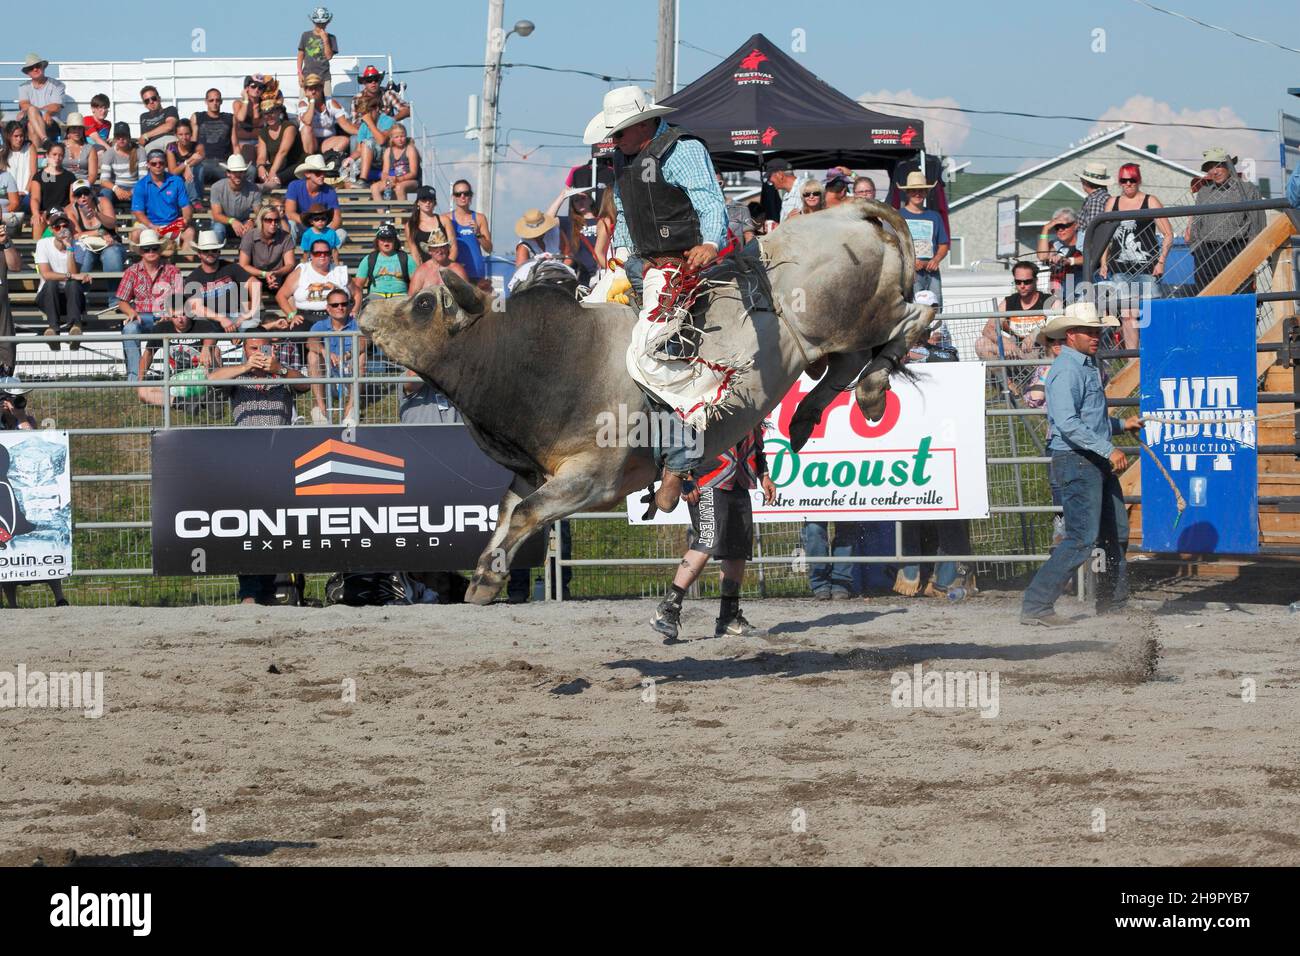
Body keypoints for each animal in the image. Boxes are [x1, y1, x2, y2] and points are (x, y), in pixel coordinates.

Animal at [361, 201, 935, 606]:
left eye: (424, 302)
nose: (366, 305)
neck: (548, 357)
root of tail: (849, 212)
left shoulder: (596, 478)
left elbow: (526, 512)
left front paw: (484, 579)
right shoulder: (535, 471)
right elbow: (508, 512)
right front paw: (485, 573)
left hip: (856, 316)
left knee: (915, 318)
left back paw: (871, 391)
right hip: (830, 338)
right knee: (848, 360)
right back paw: (808, 415)